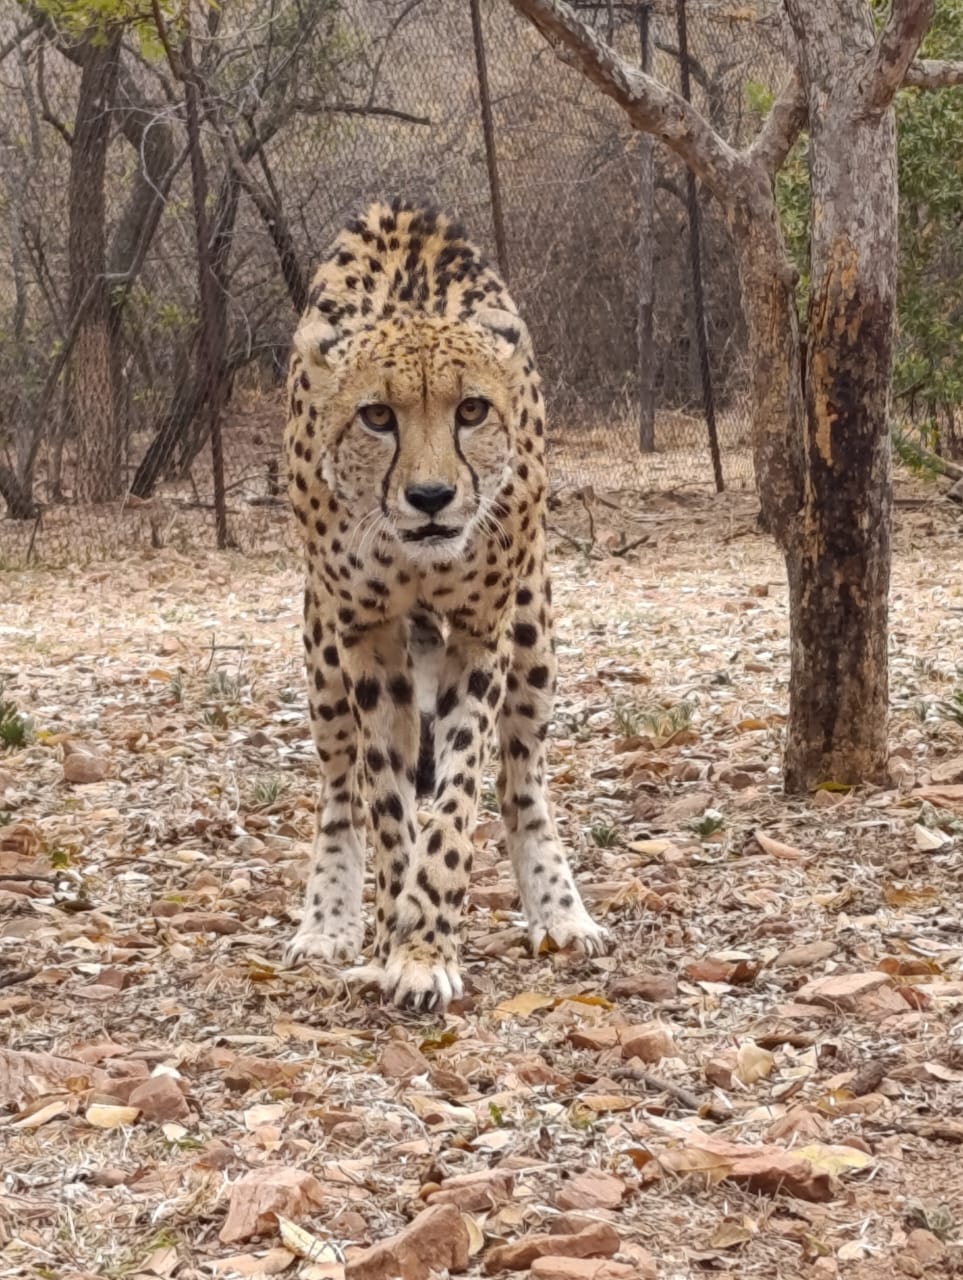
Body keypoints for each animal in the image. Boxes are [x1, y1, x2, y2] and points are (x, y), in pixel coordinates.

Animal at [283, 198, 605, 1010]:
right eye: (376, 417)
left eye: (471, 410)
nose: (431, 497)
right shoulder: (364, 635)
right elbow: (387, 802)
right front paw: (401, 936)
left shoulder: (481, 631)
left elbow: (457, 798)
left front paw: (425, 938)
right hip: (322, 653)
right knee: (340, 788)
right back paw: (330, 922)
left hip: (534, 634)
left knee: (522, 780)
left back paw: (560, 912)